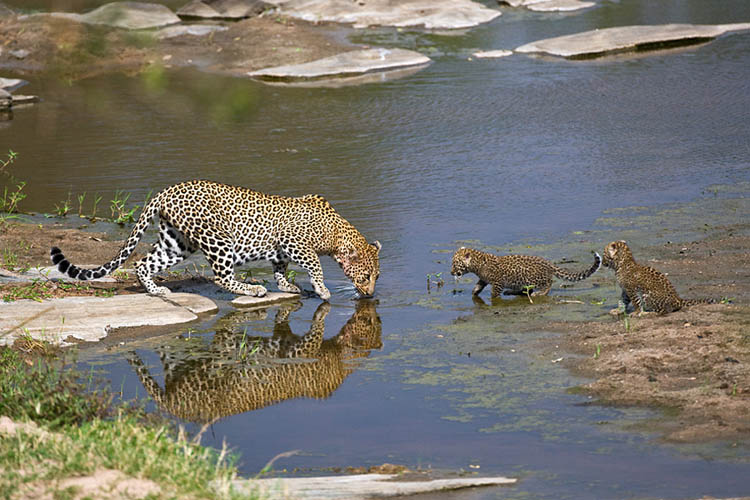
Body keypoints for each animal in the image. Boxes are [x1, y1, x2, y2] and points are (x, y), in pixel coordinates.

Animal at [50, 180, 381, 300]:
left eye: (375, 276)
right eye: (366, 276)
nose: (369, 295)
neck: (336, 232)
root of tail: (166, 190)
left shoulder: (281, 250)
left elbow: (280, 269)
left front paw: (288, 286)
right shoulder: (294, 242)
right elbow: (315, 265)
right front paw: (322, 290)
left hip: (177, 243)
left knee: (143, 263)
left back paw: (156, 291)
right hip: (218, 240)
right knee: (221, 276)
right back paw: (252, 289)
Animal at [451, 247, 601, 299]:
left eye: (455, 263)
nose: (451, 272)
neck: (477, 265)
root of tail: (549, 263)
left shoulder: (497, 282)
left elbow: (494, 293)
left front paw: (493, 298)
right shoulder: (483, 279)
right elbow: (478, 286)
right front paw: (474, 293)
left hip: (535, 278)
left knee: (548, 283)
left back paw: (540, 293)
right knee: (526, 290)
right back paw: (511, 292)